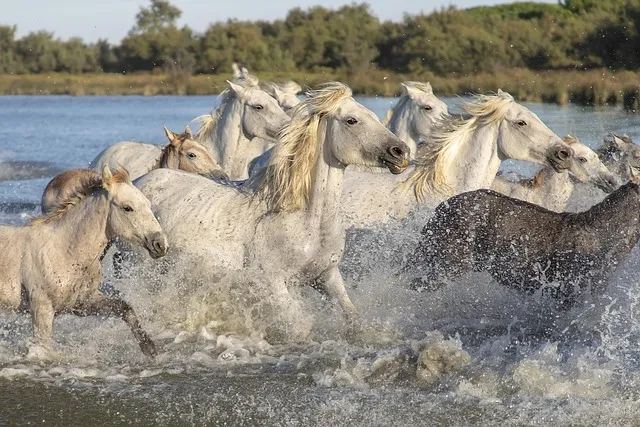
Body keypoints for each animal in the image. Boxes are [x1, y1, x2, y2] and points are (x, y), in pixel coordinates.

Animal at [0, 166, 168, 356]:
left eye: (148, 204)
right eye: (128, 208)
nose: (160, 244)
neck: (63, 250)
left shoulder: (83, 303)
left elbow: (125, 308)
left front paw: (149, 348)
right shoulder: (42, 308)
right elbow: (44, 346)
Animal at [134, 82, 410, 341]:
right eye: (352, 120)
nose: (401, 152)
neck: (306, 220)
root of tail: (139, 181)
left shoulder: (327, 275)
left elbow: (354, 319)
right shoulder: (273, 282)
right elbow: (299, 327)